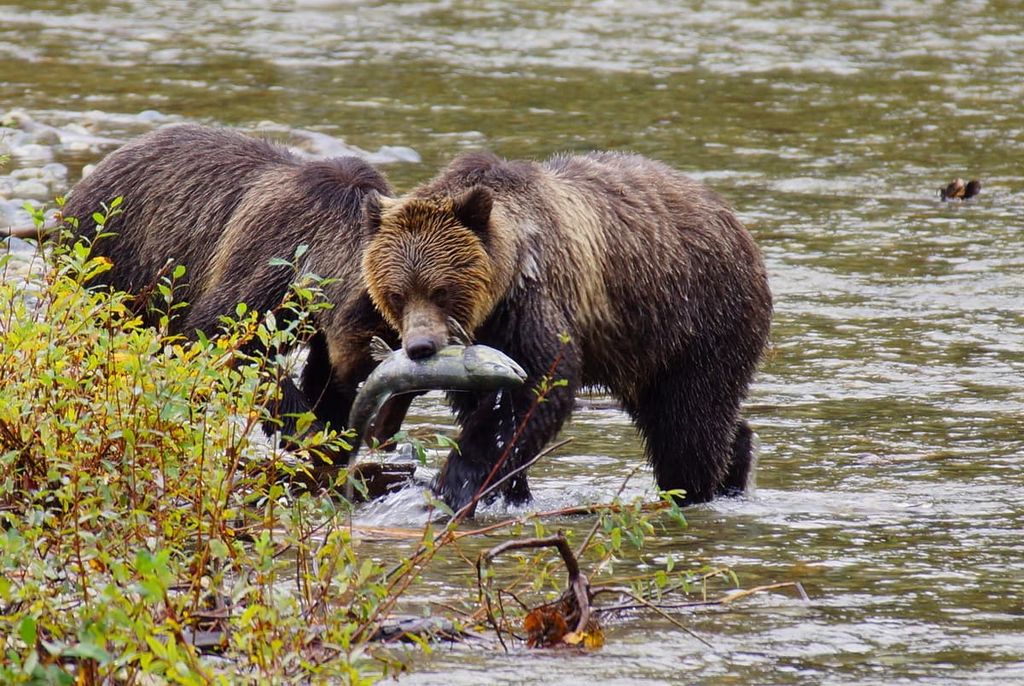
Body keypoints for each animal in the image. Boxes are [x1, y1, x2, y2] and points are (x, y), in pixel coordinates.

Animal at [60, 124, 398, 444]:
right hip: (110, 261)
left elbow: (321, 373)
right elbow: (223, 335)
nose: (385, 432)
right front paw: (305, 427)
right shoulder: (273, 259)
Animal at [361, 150, 773, 512]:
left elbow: (537, 388)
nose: (420, 346)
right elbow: (478, 403)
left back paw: (694, 489)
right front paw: (511, 490)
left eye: (441, 290)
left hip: (700, 317)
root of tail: (736, 223)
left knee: (689, 421)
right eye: (396, 294)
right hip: (643, 348)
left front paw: (455, 483)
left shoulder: (534, 301)